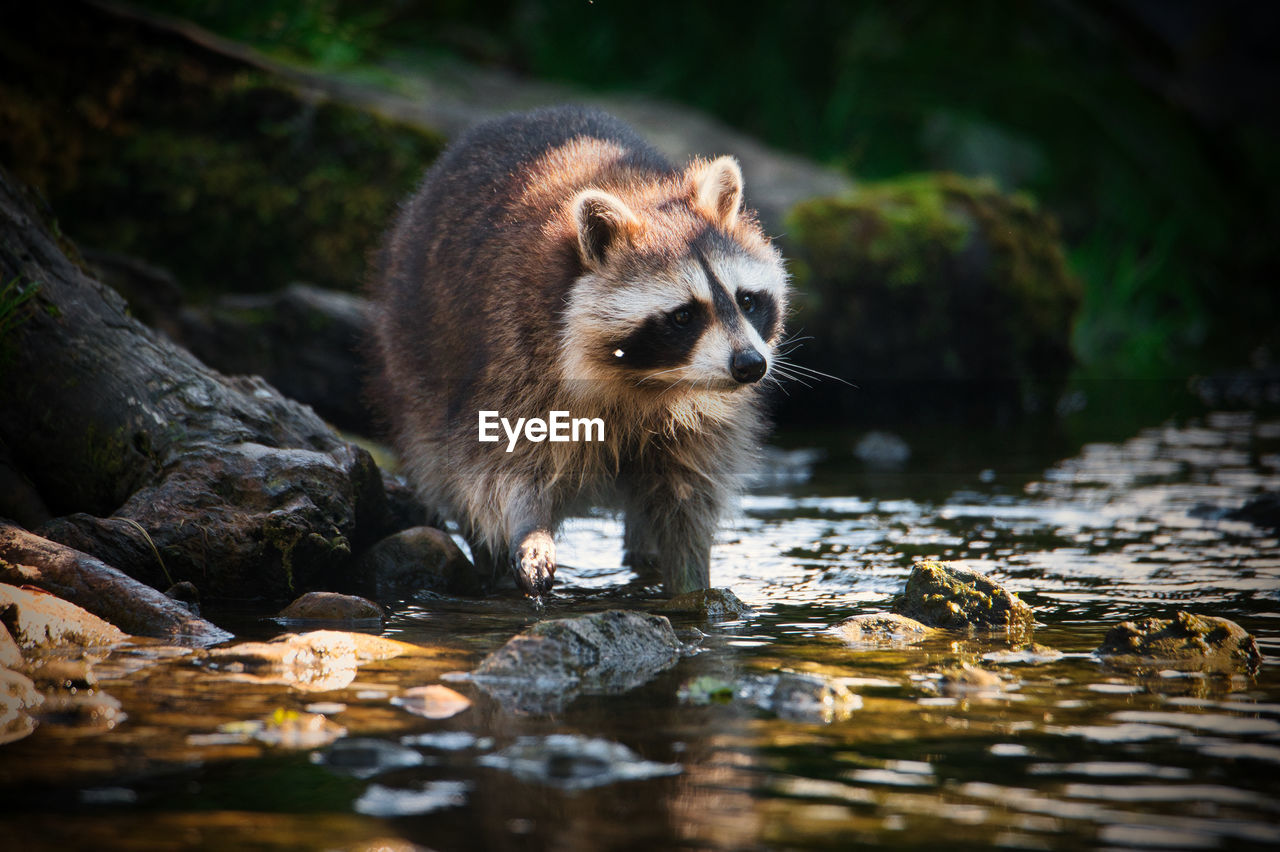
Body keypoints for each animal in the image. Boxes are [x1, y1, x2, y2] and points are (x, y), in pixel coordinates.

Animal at [366, 106, 788, 593]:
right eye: (684, 316)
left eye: (746, 300)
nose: (750, 366)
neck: (646, 381)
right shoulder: (515, 355)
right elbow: (498, 467)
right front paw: (528, 528)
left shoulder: (704, 418)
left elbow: (689, 495)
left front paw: (691, 580)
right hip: (411, 350)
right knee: (440, 457)